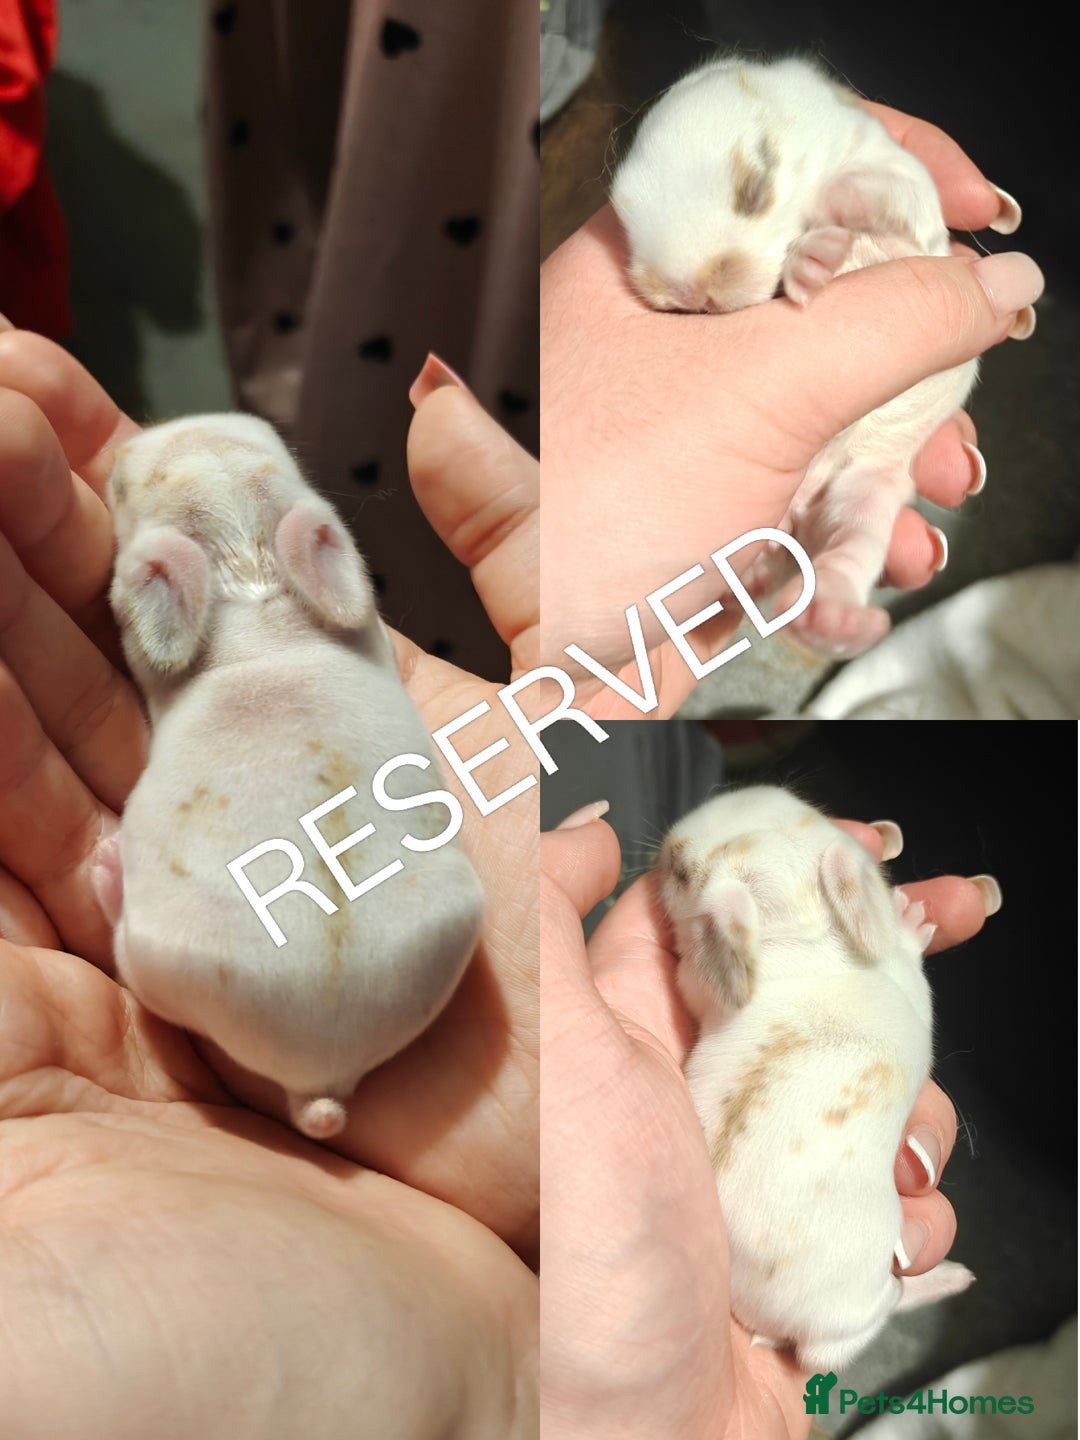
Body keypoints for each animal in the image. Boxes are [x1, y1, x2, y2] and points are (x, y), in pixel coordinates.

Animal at [94, 413, 484, 1140]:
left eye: (121, 489)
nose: (135, 443)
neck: (254, 594)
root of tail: (321, 1078)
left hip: (162, 956)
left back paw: (106, 875)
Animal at [610, 53, 995, 659]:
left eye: (756, 185)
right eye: (621, 212)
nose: (687, 293)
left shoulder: (908, 199)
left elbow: (885, 195)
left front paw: (819, 241)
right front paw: (814, 259)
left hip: (869, 482)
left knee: (852, 542)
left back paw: (833, 620)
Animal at [657, 784, 974, 1371]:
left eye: (793, 804)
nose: (671, 849)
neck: (803, 941)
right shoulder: (912, 989)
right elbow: (910, 961)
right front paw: (910, 922)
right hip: (864, 1297)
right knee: (883, 1309)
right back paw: (942, 1280)